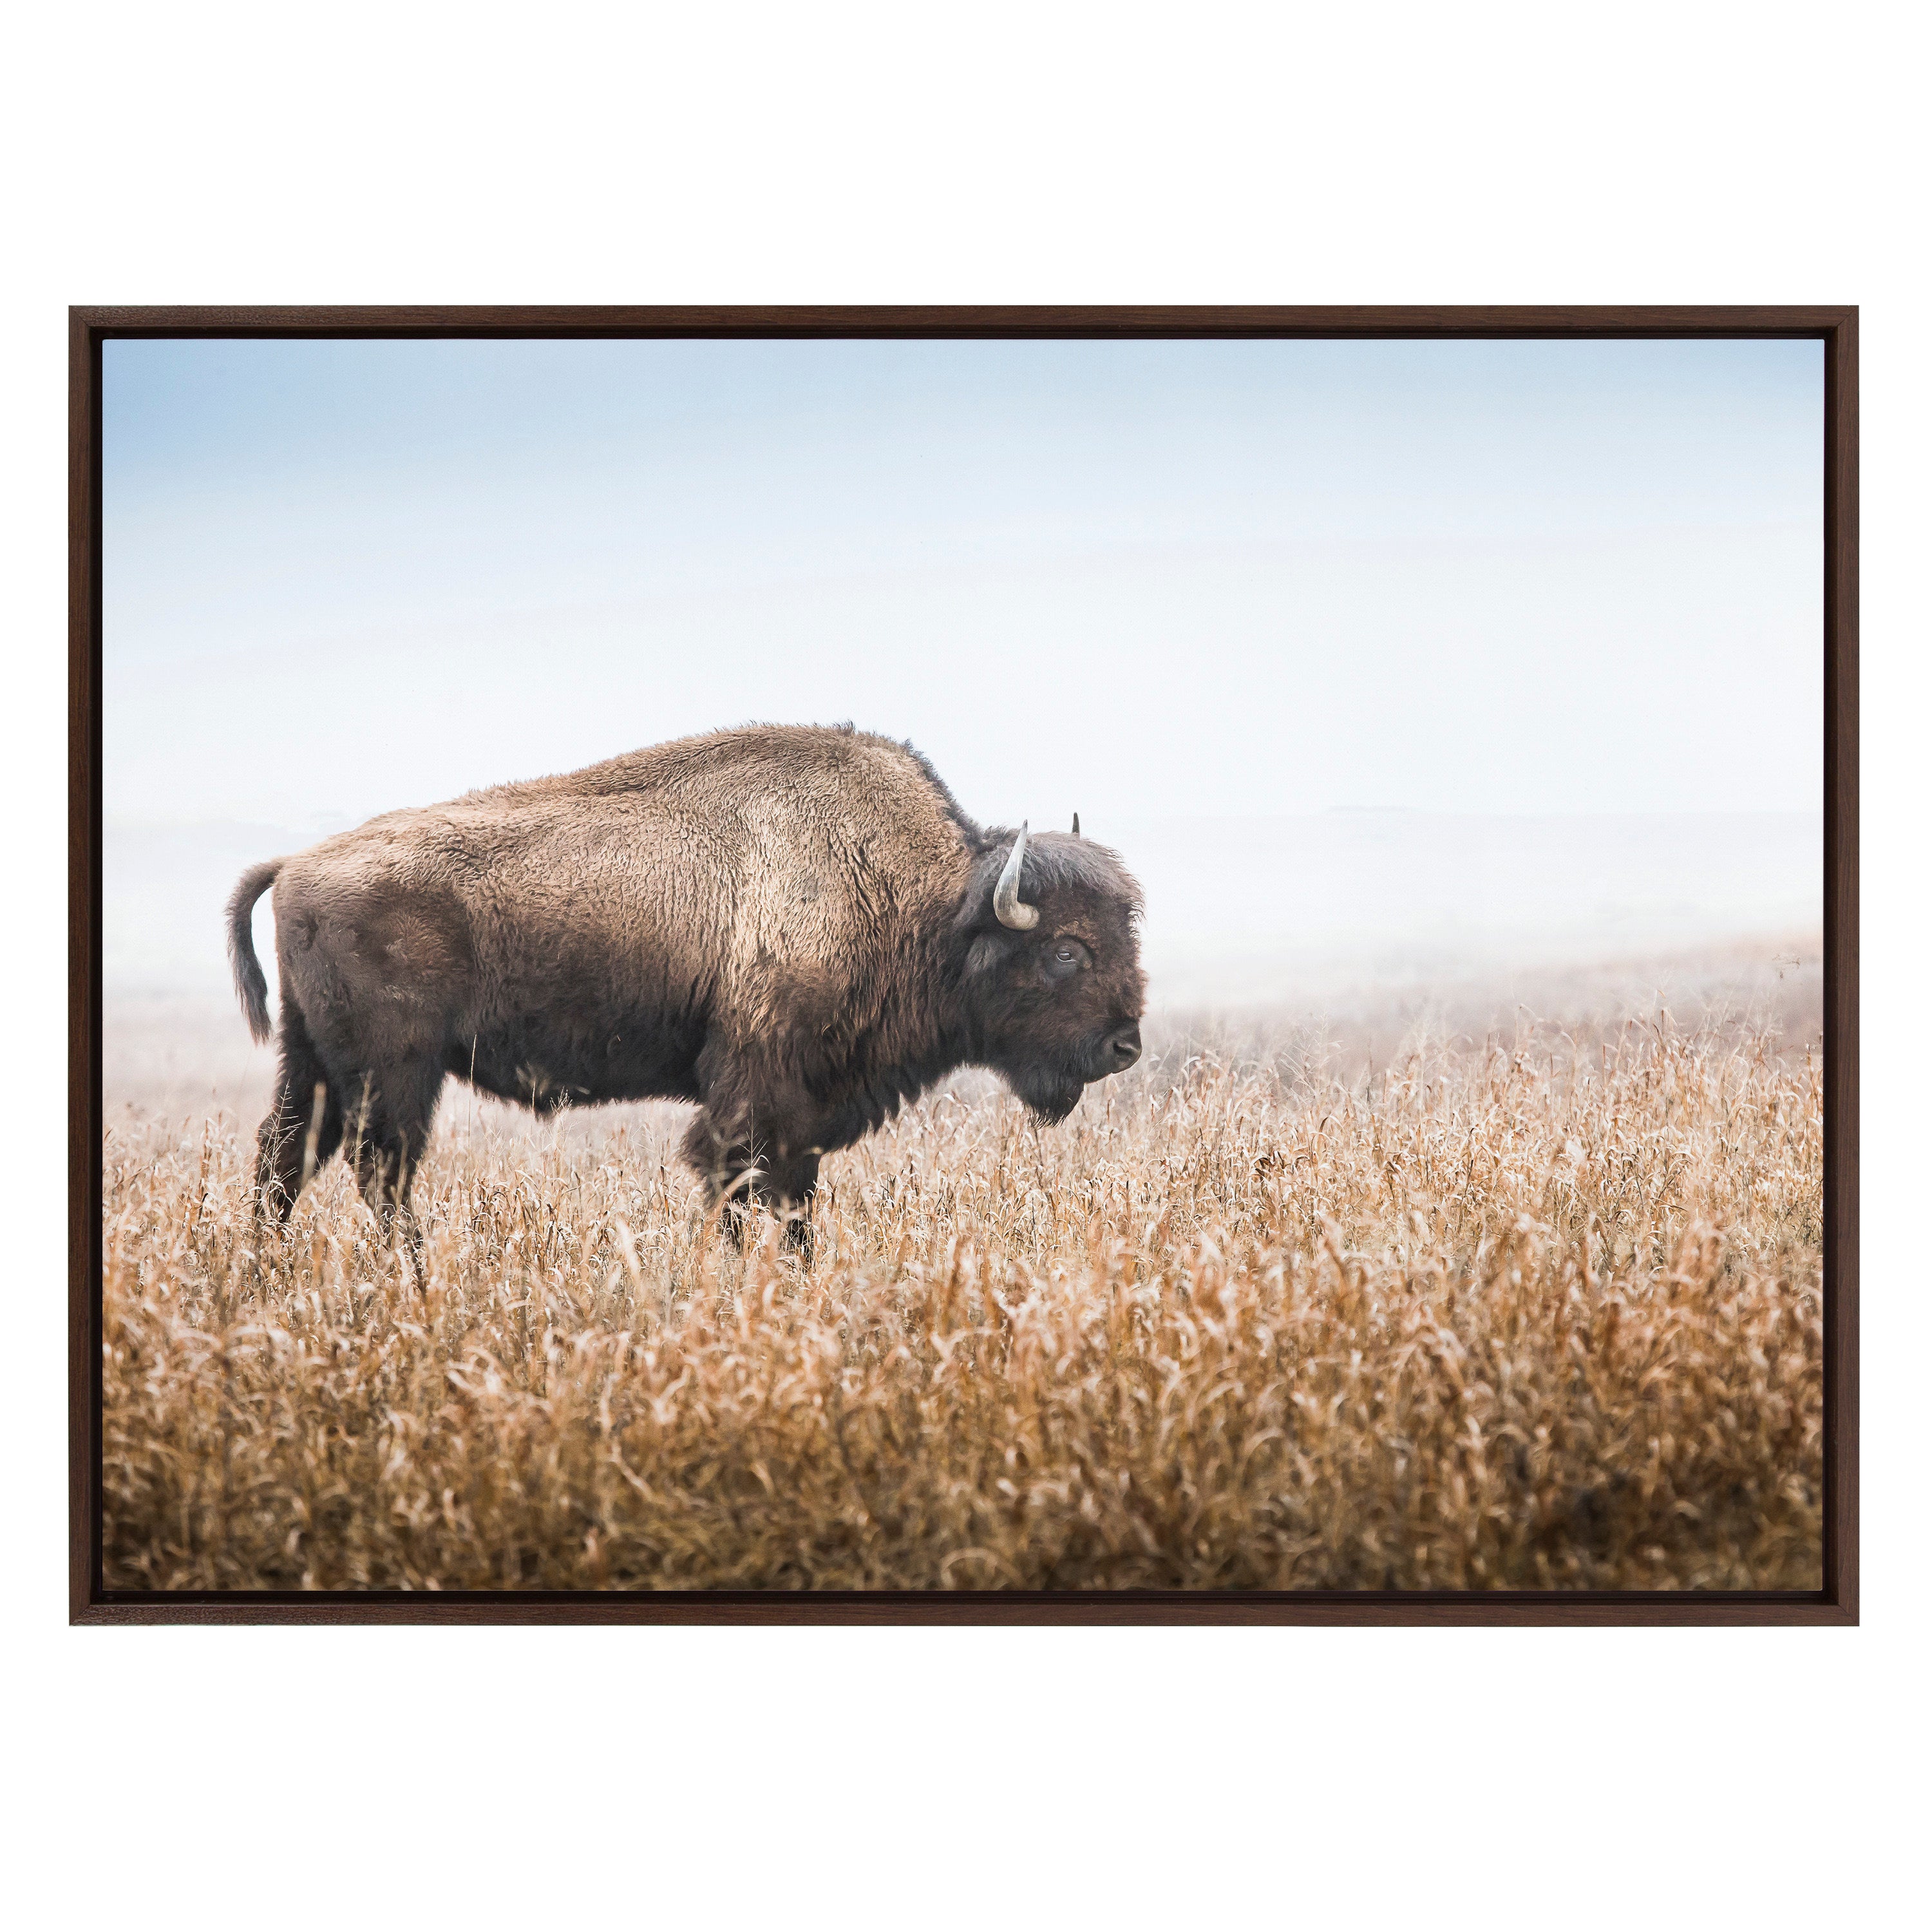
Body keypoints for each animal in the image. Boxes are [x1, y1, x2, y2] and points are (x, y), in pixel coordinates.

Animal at [227, 724, 1146, 1266]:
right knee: (380, 1172)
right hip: (396, 1074)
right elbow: (739, 1185)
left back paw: (264, 1273)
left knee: (285, 1160)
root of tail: (298, 863)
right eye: (1066, 950)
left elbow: (794, 1203)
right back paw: (411, 1279)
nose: (1125, 1046)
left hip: (313, 1063)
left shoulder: (805, 1114)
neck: (924, 902)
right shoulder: (754, 1094)